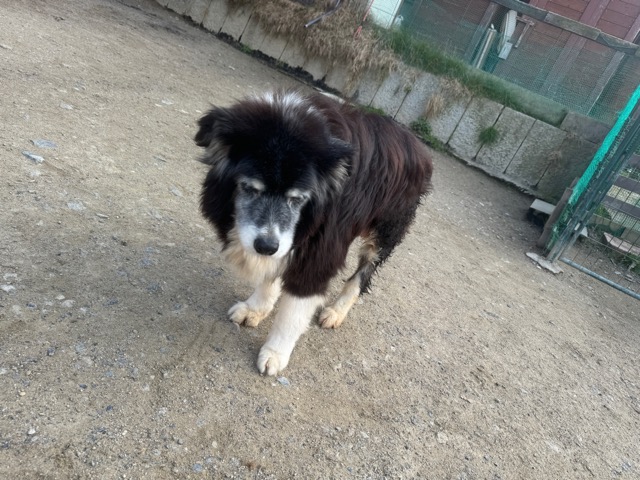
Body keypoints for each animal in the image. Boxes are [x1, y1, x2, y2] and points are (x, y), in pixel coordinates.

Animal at [195, 90, 432, 375]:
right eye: (249, 188)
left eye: (297, 199)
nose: (266, 246)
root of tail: (415, 142)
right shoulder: (285, 239)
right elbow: (271, 275)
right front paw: (255, 308)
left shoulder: (321, 247)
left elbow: (294, 311)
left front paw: (275, 354)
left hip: (386, 229)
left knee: (363, 272)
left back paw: (336, 312)